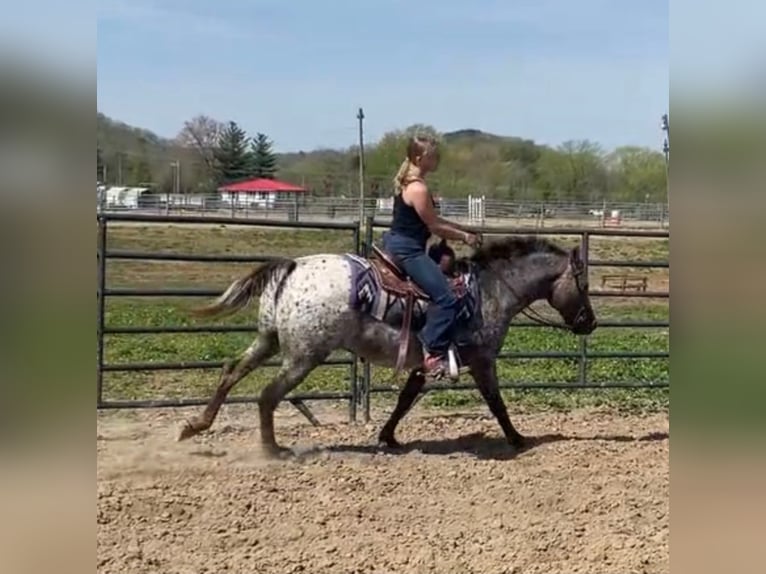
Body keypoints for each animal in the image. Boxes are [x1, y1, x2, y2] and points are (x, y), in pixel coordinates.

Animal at [178, 235, 600, 460]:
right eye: (583, 285)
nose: (590, 322)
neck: (489, 290)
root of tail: (293, 268)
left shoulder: (425, 362)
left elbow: (404, 399)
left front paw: (388, 437)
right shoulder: (482, 361)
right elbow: (497, 403)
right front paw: (517, 439)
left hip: (269, 340)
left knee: (231, 371)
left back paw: (195, 426)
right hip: (303, 355)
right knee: (268, 395)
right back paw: (273, 450)